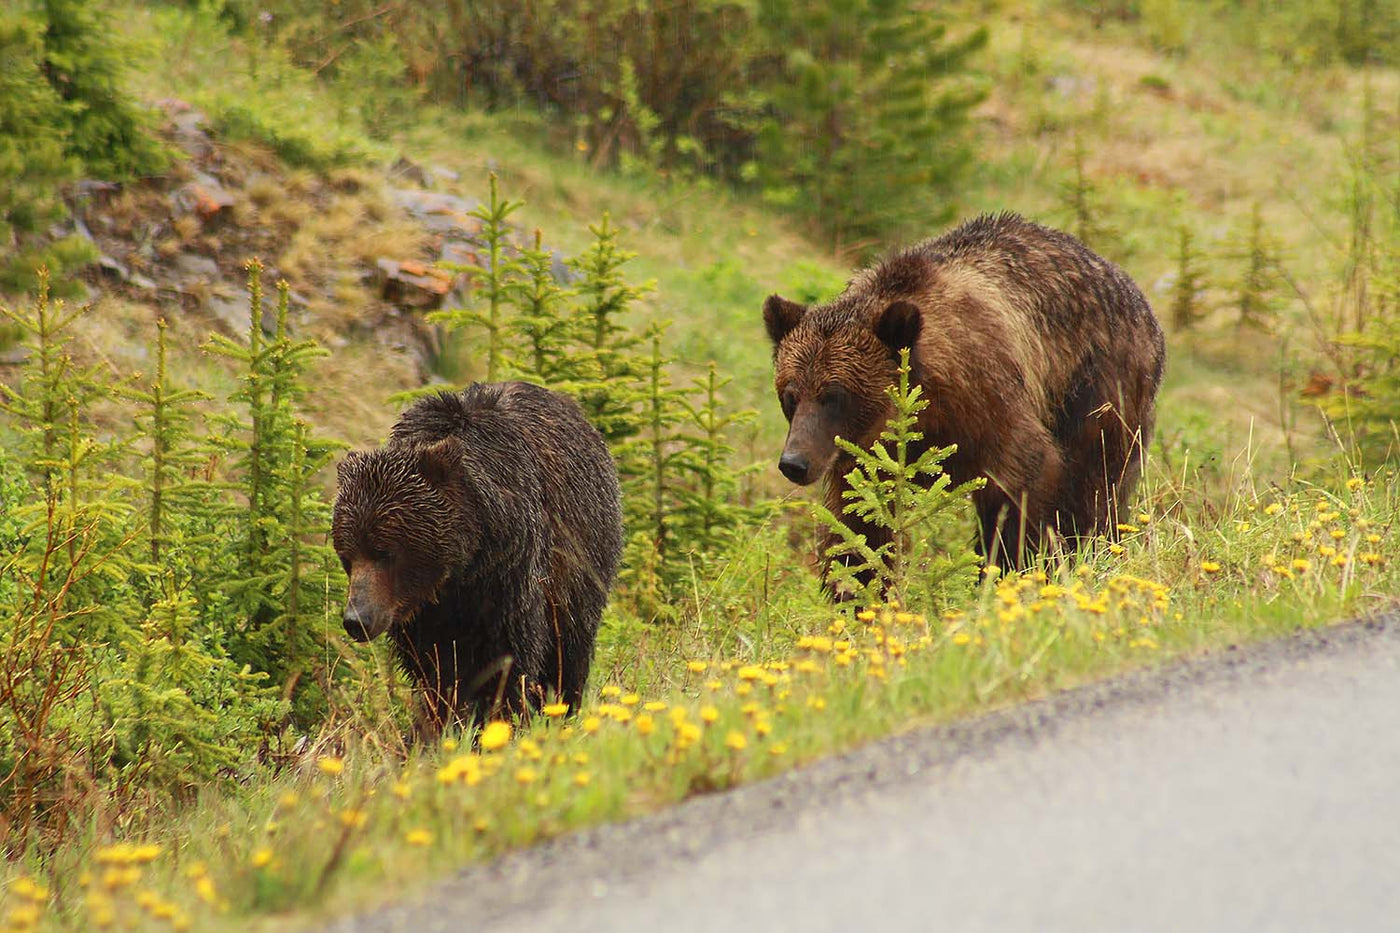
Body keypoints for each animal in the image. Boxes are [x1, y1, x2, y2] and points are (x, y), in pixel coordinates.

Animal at [330, 381, 621, 728]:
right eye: (347, 555)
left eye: (384, 552)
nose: (357, 620)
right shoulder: (422, 610)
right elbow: (433, 668)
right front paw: (442, 719)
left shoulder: (508, 572)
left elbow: (506, 656)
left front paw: (498, 717)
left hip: (583, 557)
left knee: (570, 645)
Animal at [761, 214, 1164, 585]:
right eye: (790, 396)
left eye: (834, 396)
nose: (794, 462)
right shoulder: (866, 455)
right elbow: (859, 519)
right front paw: (859, 588)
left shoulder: (989, 400)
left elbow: (1022, 481)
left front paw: (1007, 568)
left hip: (1099, 388)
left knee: (1095, 486)